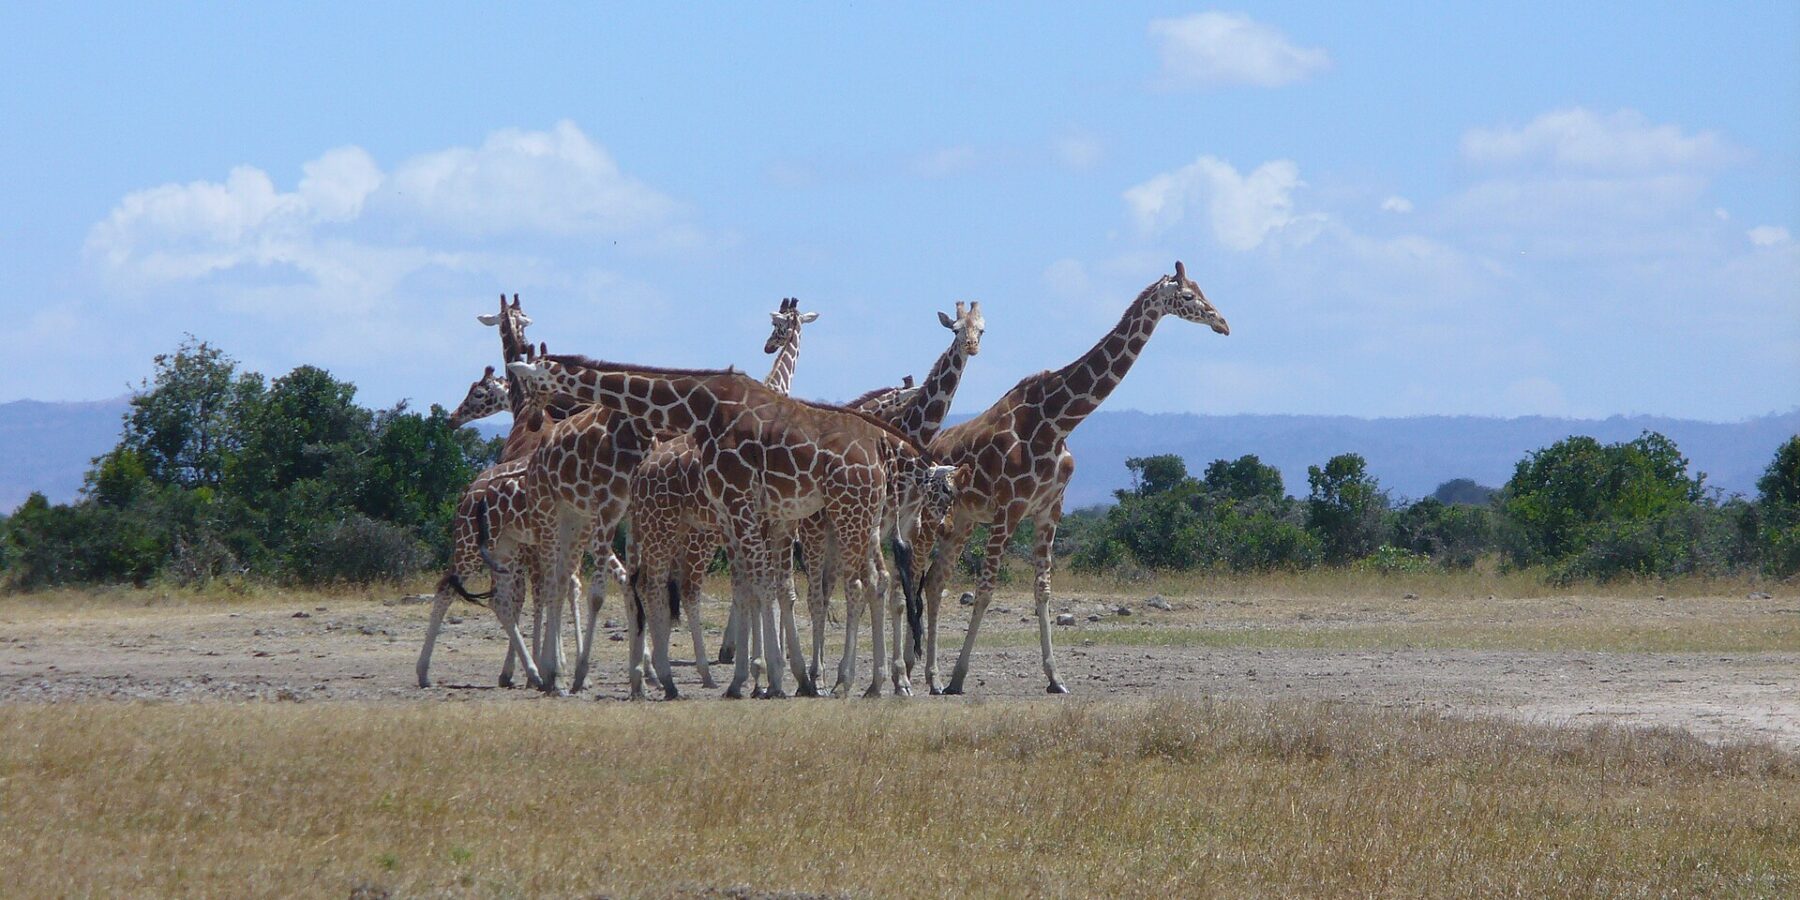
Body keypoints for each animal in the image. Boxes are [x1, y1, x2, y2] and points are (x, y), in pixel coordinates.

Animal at [505, 357, 959, 699]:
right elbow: (757, 588)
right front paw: (763, 678)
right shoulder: (739, 509)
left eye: (535, 379)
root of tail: (879, 447)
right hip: (860, 515)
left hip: (851, 512)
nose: (534, 420)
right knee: (876, 581)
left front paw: (774, 679)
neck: (698, 409)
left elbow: (762, 586)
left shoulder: (742, 503)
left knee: (866, 584)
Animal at [918, 262, 1229, 694]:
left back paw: (930, 677)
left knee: (935, 581)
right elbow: (985, 588)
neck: (1057, 421)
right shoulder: (1009, 509)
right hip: (929, 519)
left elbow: (1043, 589)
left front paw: (1056, 678)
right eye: (1187, 296)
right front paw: (959, 677)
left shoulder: (1050, 508)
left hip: (961, 521)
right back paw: (918, 676)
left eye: (1203, 289)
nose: (1222, 323)